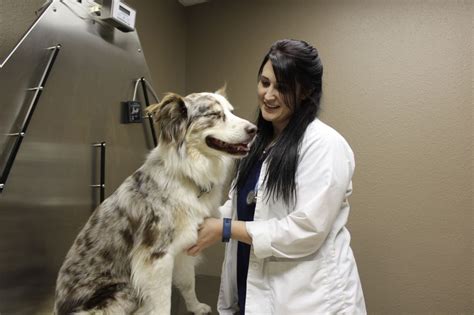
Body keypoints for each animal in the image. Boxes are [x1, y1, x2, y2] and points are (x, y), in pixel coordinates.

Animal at [53, 87, 258, 315]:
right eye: (214, 114)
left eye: (231, 112)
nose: (255, 129)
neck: (187, 175)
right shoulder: (156, 258)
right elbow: (162, 303)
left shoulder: (184, 247)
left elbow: (188, 283)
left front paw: (195, 307)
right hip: (124, 291)